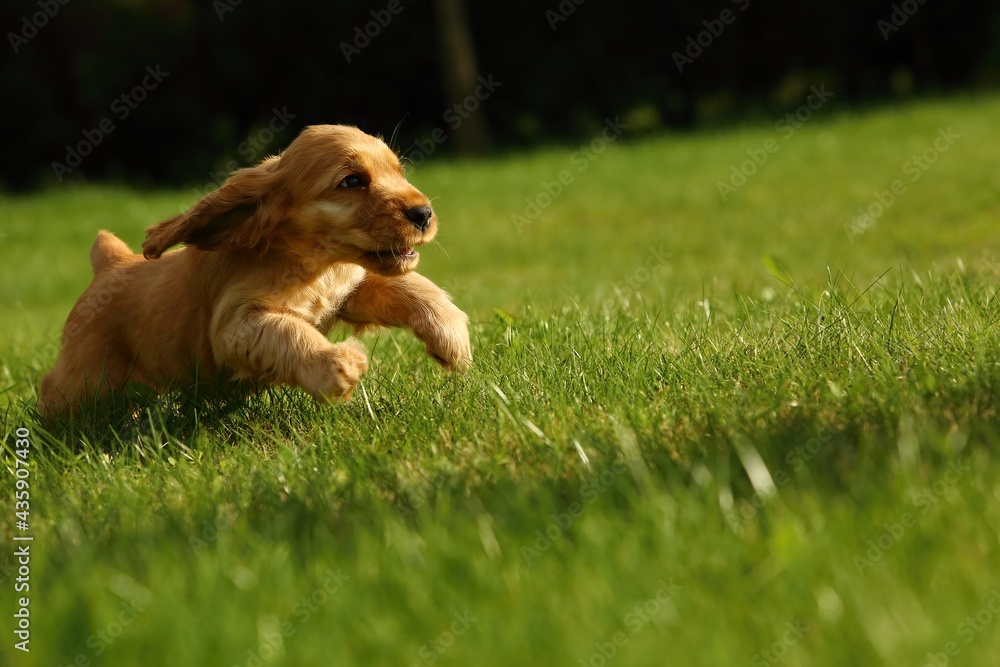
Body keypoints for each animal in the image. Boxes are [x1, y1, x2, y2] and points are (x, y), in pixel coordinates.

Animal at [40, 124, 472, 418]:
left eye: (399, 172)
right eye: (352, 181)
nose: (423, 213)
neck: (311, 266)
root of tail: (110, 264)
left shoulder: (349, 289)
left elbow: (410, 286)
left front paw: (451, 337)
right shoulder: (236, 324)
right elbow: (290, 331)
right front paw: (338, 366)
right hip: (86, 377)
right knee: (53, 392)